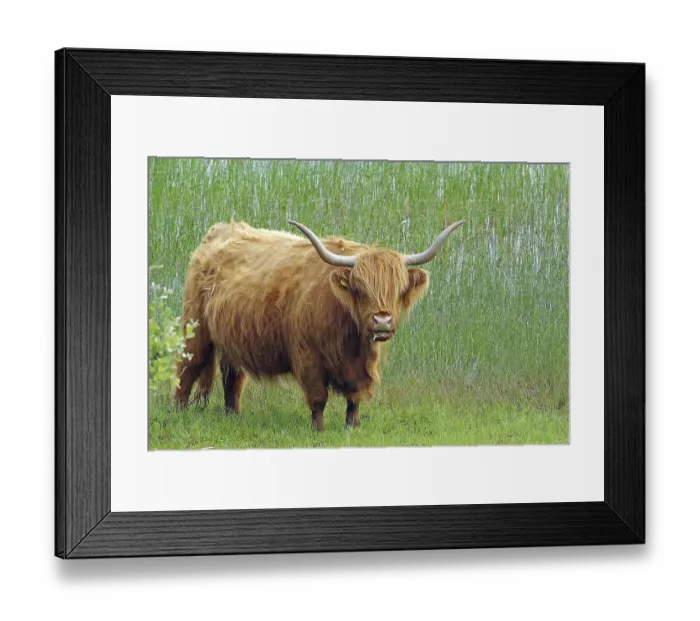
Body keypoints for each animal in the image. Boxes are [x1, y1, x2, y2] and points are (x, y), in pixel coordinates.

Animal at [174, 219, 465, 431]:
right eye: (360, 289)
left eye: (398, 288)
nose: (382, 321)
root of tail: (219, 230)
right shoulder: (308, 356)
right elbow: (318, 397)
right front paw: (319, 429)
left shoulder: (360, 367)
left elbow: (354, 397)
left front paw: (352, 426)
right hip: (195, 326)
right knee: (188, 365)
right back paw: (178, 411)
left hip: (233, 334)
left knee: (232, 376)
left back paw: (233, 415)